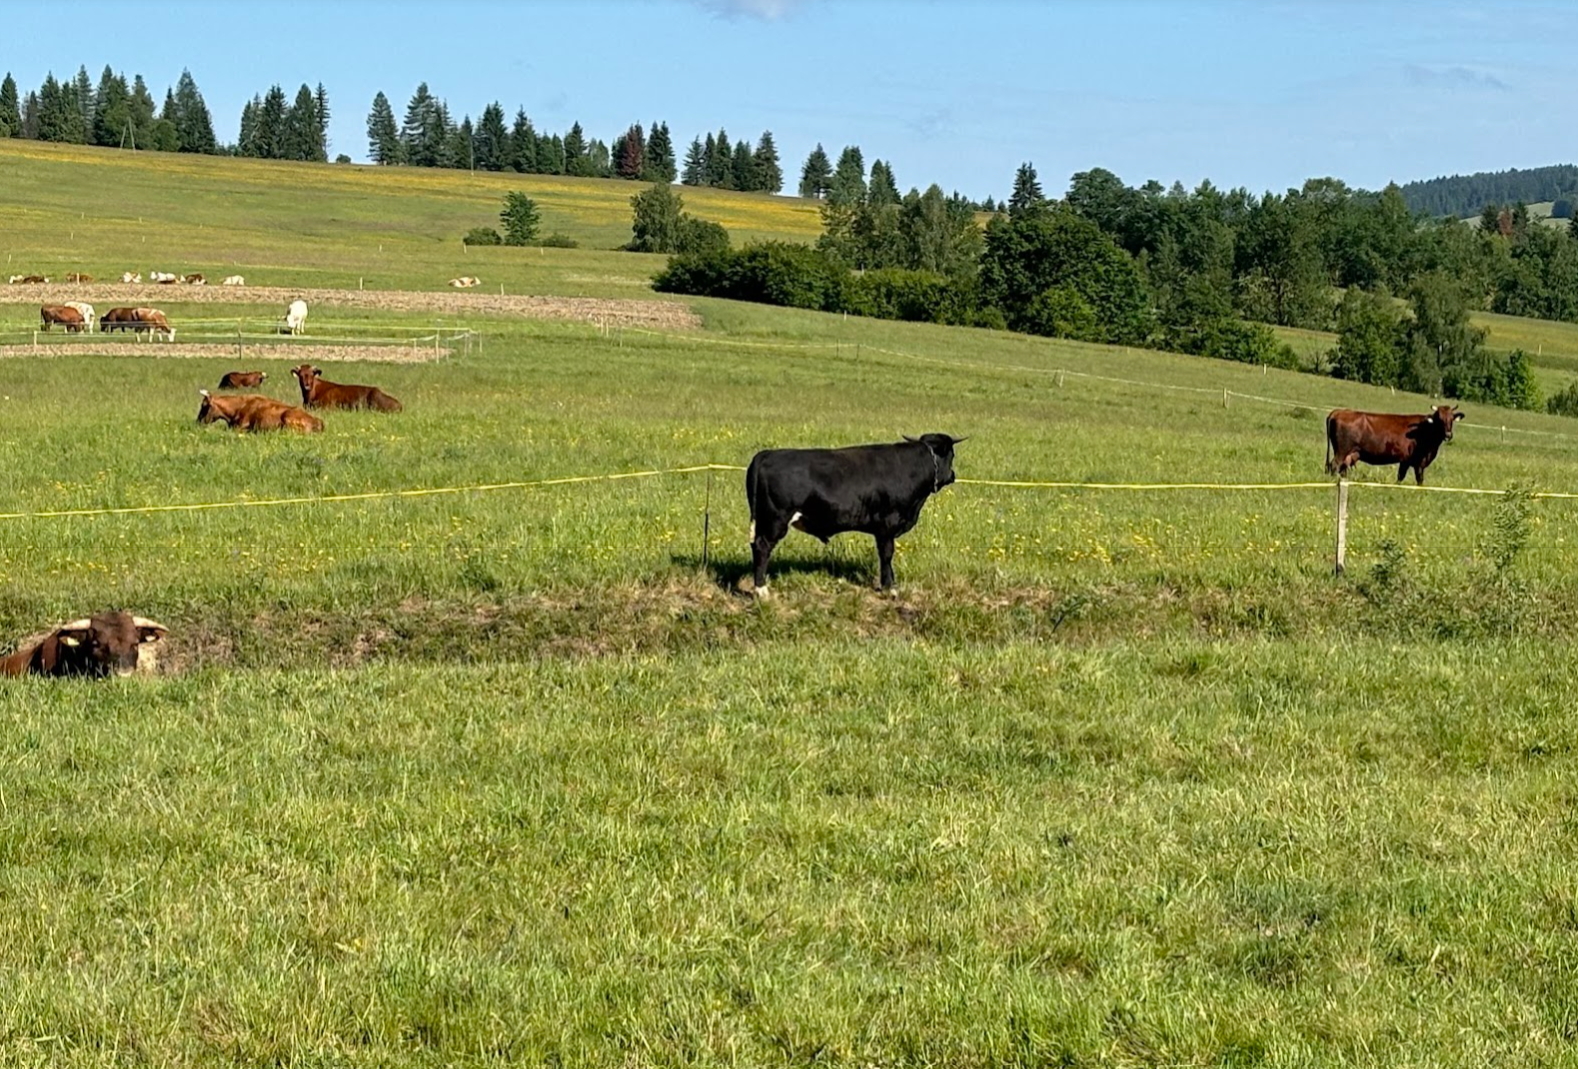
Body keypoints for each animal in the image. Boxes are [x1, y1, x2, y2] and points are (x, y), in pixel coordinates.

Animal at [747, 432, 959, 590]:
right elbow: (886, 554)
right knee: (762, 547)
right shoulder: (887, 525)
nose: (953, 475)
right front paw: (888, 587)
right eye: (952, 455)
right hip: (775, 520)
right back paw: (761, 590)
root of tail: (767, 454)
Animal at [1325, 407, 1458, 486]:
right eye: (1439, 419)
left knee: (1341, 468)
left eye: (1452, 419)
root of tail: (1339, 411)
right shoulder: (1413, 461)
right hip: (1342, 451)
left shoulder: (1409, 461)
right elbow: (1412, 478)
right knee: (1334, 465)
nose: (1448, 434)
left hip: (1347, 453)